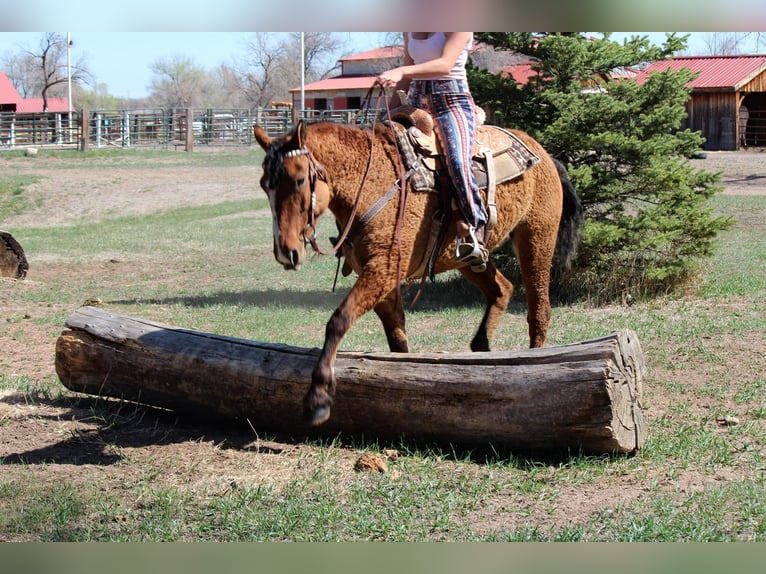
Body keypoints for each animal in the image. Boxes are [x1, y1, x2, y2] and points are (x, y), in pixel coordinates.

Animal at [252, 118, 583, 426]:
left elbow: (339, 320)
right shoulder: (381, 281)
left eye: (298, 180)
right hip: (469, 258)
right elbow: (397, 337)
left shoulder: (381, 270)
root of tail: (544, 153)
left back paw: (533, 359)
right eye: (264, 184)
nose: (286, 252)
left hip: (536, 238)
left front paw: (318, 398)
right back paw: (482, 347)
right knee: (502, 289)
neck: (369, 184)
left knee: (539, 309)